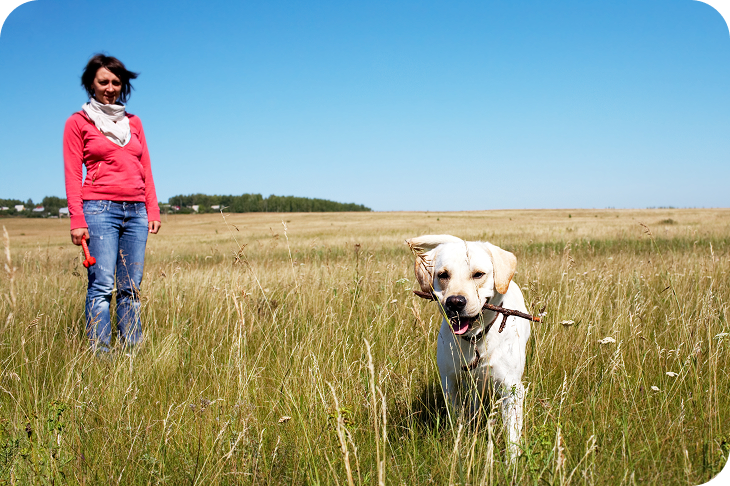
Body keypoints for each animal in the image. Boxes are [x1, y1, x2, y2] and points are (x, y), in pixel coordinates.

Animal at [407, 235, 530, 459]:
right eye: (443, 275)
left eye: (478, 274)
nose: (455, 302)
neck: (475, 339)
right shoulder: (450, 383)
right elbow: (457, 418)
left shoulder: (512, 389)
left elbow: (512, 435)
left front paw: (513, 463)